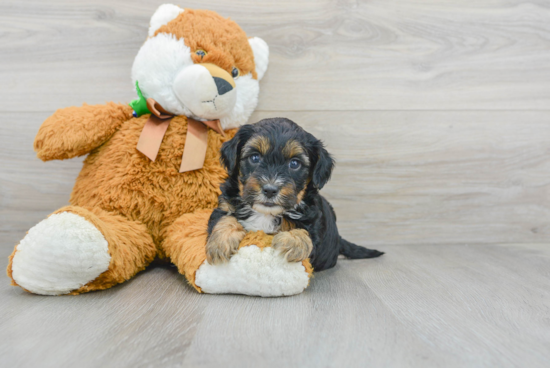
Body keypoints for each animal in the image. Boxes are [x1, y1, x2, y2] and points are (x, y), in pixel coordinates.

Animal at [206, 118, 384, 270]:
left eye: (294, 164)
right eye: (255, 157)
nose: (270, 189)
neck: (266, 214)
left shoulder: (313, 221)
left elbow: (305, 233)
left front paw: (292, 241)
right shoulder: (224, 205)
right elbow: (225, 218)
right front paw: (220, 243)